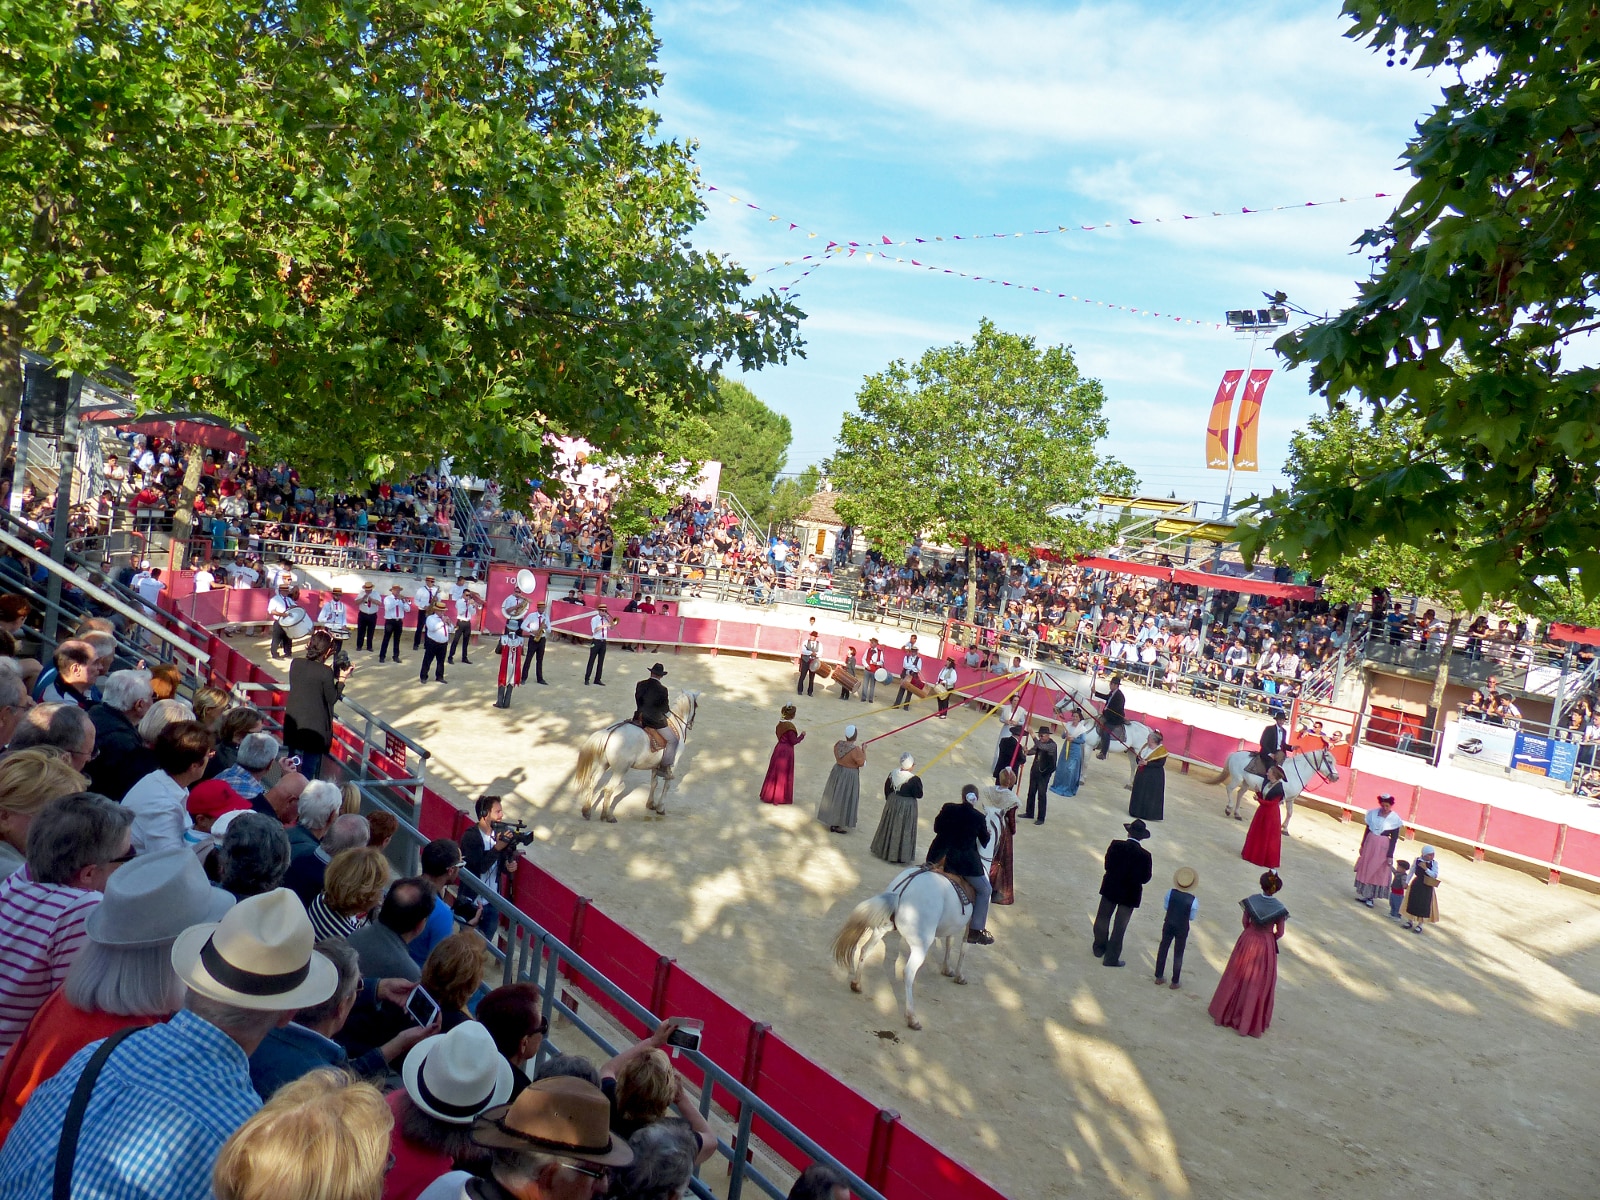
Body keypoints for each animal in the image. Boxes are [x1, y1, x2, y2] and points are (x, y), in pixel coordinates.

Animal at [579, 691, 697, 825]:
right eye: (696, 705)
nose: (691, 724)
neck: (675, 725)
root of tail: (610, 732)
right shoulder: (672, 765)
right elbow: (666, 786)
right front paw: (660, 808)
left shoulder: (656, 765)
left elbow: (654, 783)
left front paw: (650, 804)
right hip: (620, 770)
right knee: (609, 789)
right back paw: (608, 816)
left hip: (603, 764)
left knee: (593, 781)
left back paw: (586, 811)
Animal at [838, 800, 1011, 1036]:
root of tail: (900, 892)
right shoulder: (970, 924)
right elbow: (965, 947)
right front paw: (959, 975)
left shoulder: (952, 923)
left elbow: (949, 943)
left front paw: (946, 969)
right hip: (920, 945)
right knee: (908, 973)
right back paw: (912, 1018)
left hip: (881, 929)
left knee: (864, 950)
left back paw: (857, 984)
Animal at [1203, 748, 1337, 832]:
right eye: (1330, 761)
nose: (1336, 777)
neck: (1295, 772)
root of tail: (1235, 754)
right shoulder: (1281, 798)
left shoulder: (1290, 799)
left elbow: (1290, 813)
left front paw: (1285, 829)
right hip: (1237, 778)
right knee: (1229, 789)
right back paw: (1229, 809)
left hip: (1246, 783)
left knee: (1240, 793)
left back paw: (1237, 814)